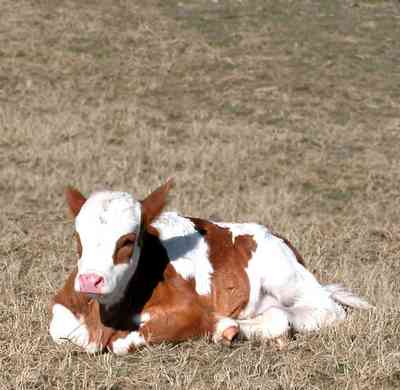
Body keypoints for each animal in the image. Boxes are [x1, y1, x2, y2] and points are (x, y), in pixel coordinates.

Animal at [50, 179, 372, 354]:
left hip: (288, 277)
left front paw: (220, 326)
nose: (90, 280)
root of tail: (274, 234)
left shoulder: (188, 307)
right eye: (78, 237)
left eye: (127, 240)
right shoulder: (64, 304)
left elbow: (126, 340)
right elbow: (61, 329)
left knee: (317, 311)